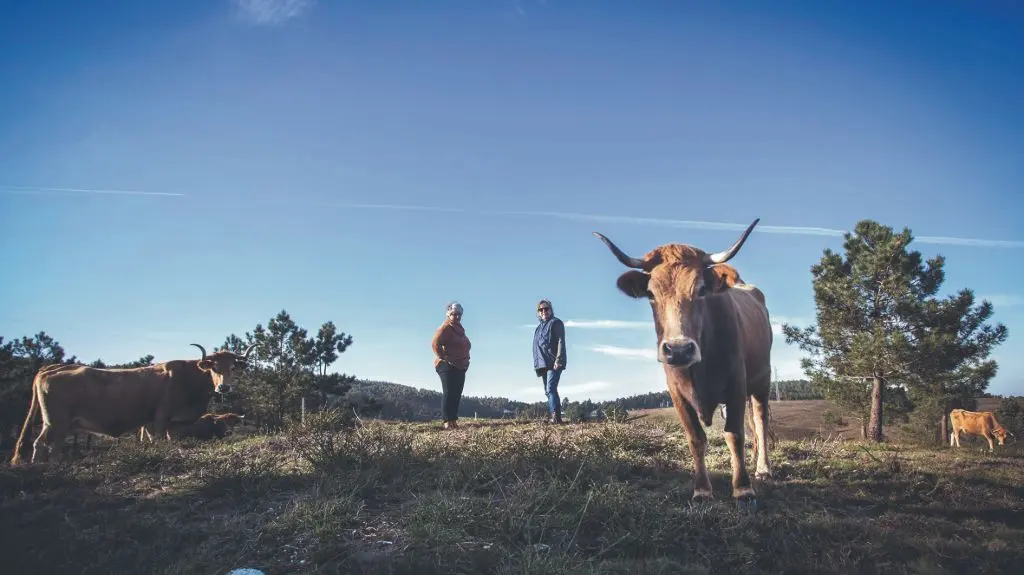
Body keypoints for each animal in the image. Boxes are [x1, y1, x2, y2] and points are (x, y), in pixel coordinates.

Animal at [10, 343, 256, 464]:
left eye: (232, 367)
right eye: (214, 368)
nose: (224, 388)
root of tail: (51, 368)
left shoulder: (155, 423)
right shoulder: (160, 418)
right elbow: (158, 441)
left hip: (54, 423)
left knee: (42, 444)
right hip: (57, 422)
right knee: (46, 445)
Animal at [593, 218, 773, 504]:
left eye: (701, 290)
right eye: (651, 293)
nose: (678, 350)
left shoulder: (736, 382)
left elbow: (734, 434)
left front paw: (743, 488)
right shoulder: (676, 393)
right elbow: (695, 437)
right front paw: (702, 489)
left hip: (762, 380)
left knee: (760, 419)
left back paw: (763, 469)